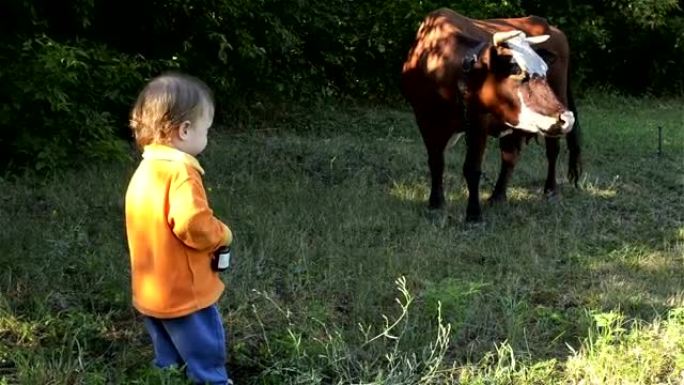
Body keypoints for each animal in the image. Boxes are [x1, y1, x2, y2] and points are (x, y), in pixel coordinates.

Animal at [400, 9, 584, 222]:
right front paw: (435, 203)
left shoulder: (478, 123)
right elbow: (436, 162)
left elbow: (472, 169)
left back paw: (550, 191)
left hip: (557, 99)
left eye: (545, 71)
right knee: (510, 156)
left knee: (552, 149)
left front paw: (473, 215)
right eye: (516, 70)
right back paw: (498, 195)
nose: (567, 118)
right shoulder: (424, 119)